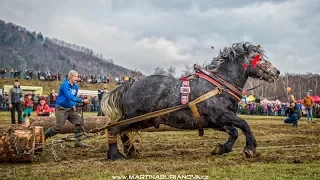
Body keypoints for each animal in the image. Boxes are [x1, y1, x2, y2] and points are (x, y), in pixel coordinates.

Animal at [100, 42, 280, 160]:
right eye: (259, 59)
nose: (277, 72)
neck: (220, 85)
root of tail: (130, 84)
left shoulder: (215, 122)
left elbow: (234, 132)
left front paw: (221, 148)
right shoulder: (222, 116)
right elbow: (244, 124)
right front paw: (250, 148)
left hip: (143, 120)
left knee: (123, 132)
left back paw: (131, 152)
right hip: (134, 117)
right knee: (114, 129)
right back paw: (115, 155)